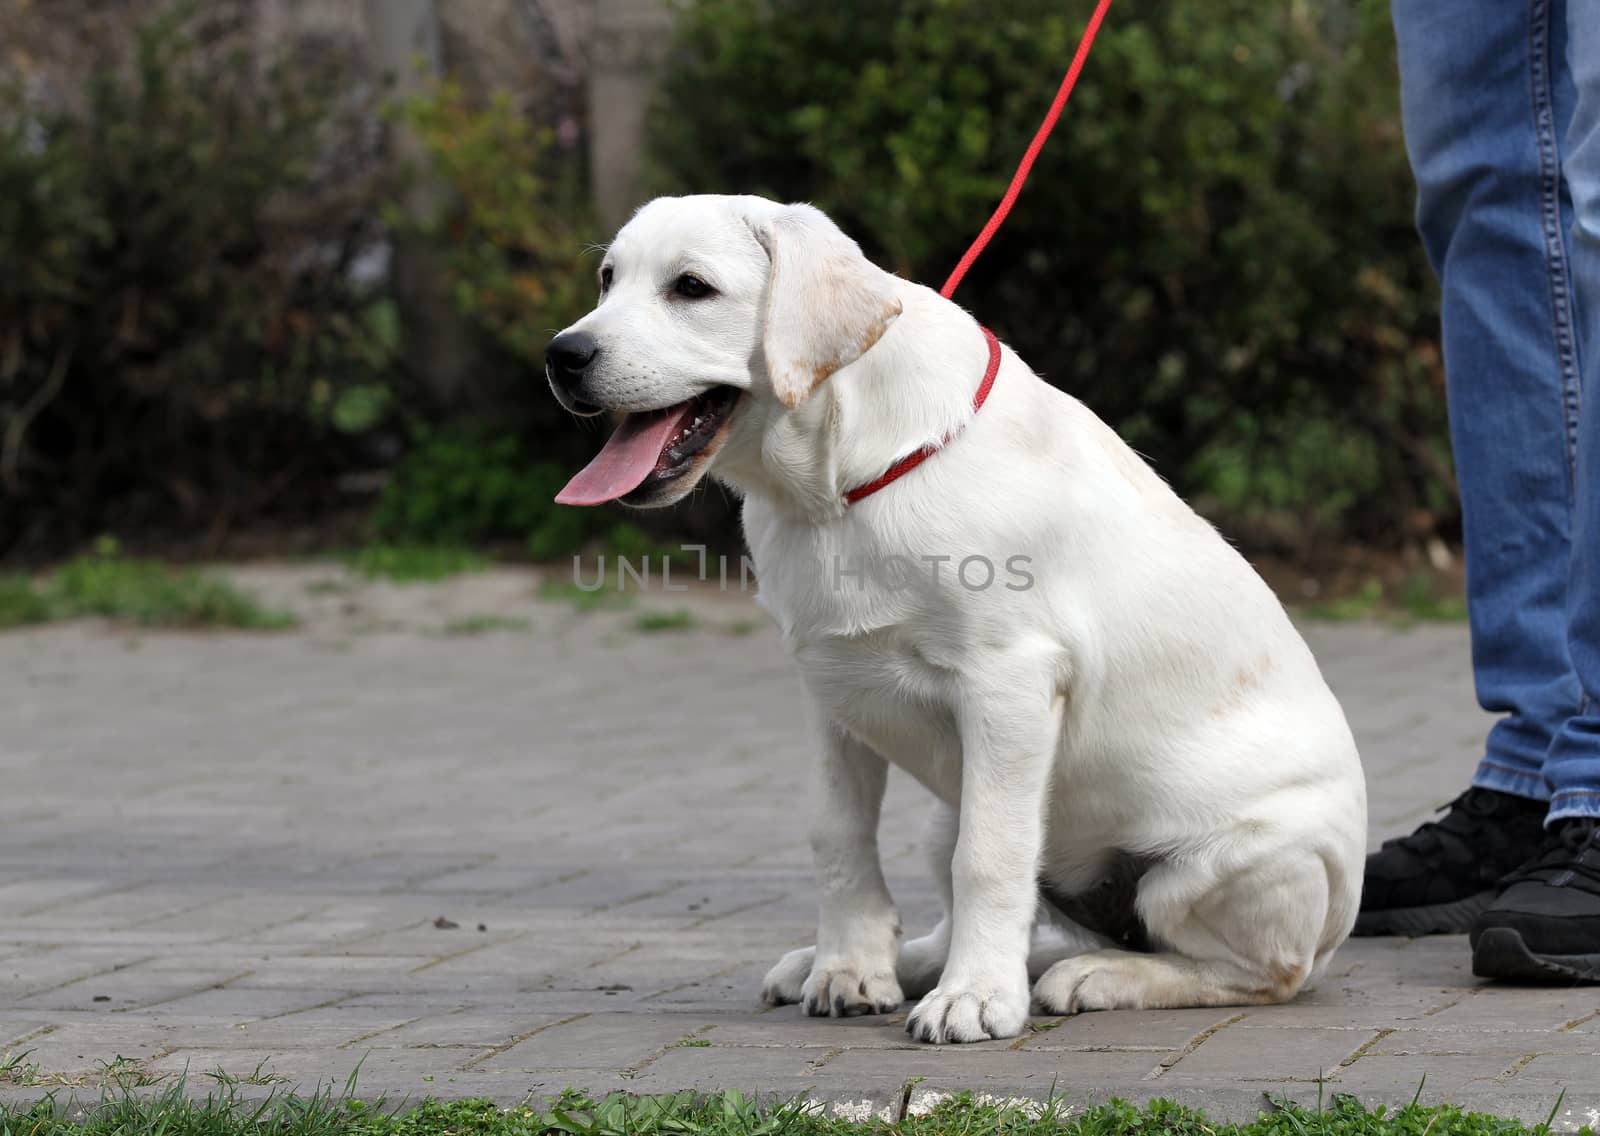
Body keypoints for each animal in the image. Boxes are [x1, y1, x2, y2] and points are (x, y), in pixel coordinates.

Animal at [547, 191, 1363, 1043]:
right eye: (608, 279)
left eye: (691, 288)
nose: (562, 356)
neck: (837, 490)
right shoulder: (830, 687)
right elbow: (837, 833)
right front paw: (850, 967)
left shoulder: (1007, 684)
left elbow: (991, 856)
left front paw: (974, 999)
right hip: (950, 809)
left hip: (1228, 864)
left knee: (1255, 971)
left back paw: (1100, 974)